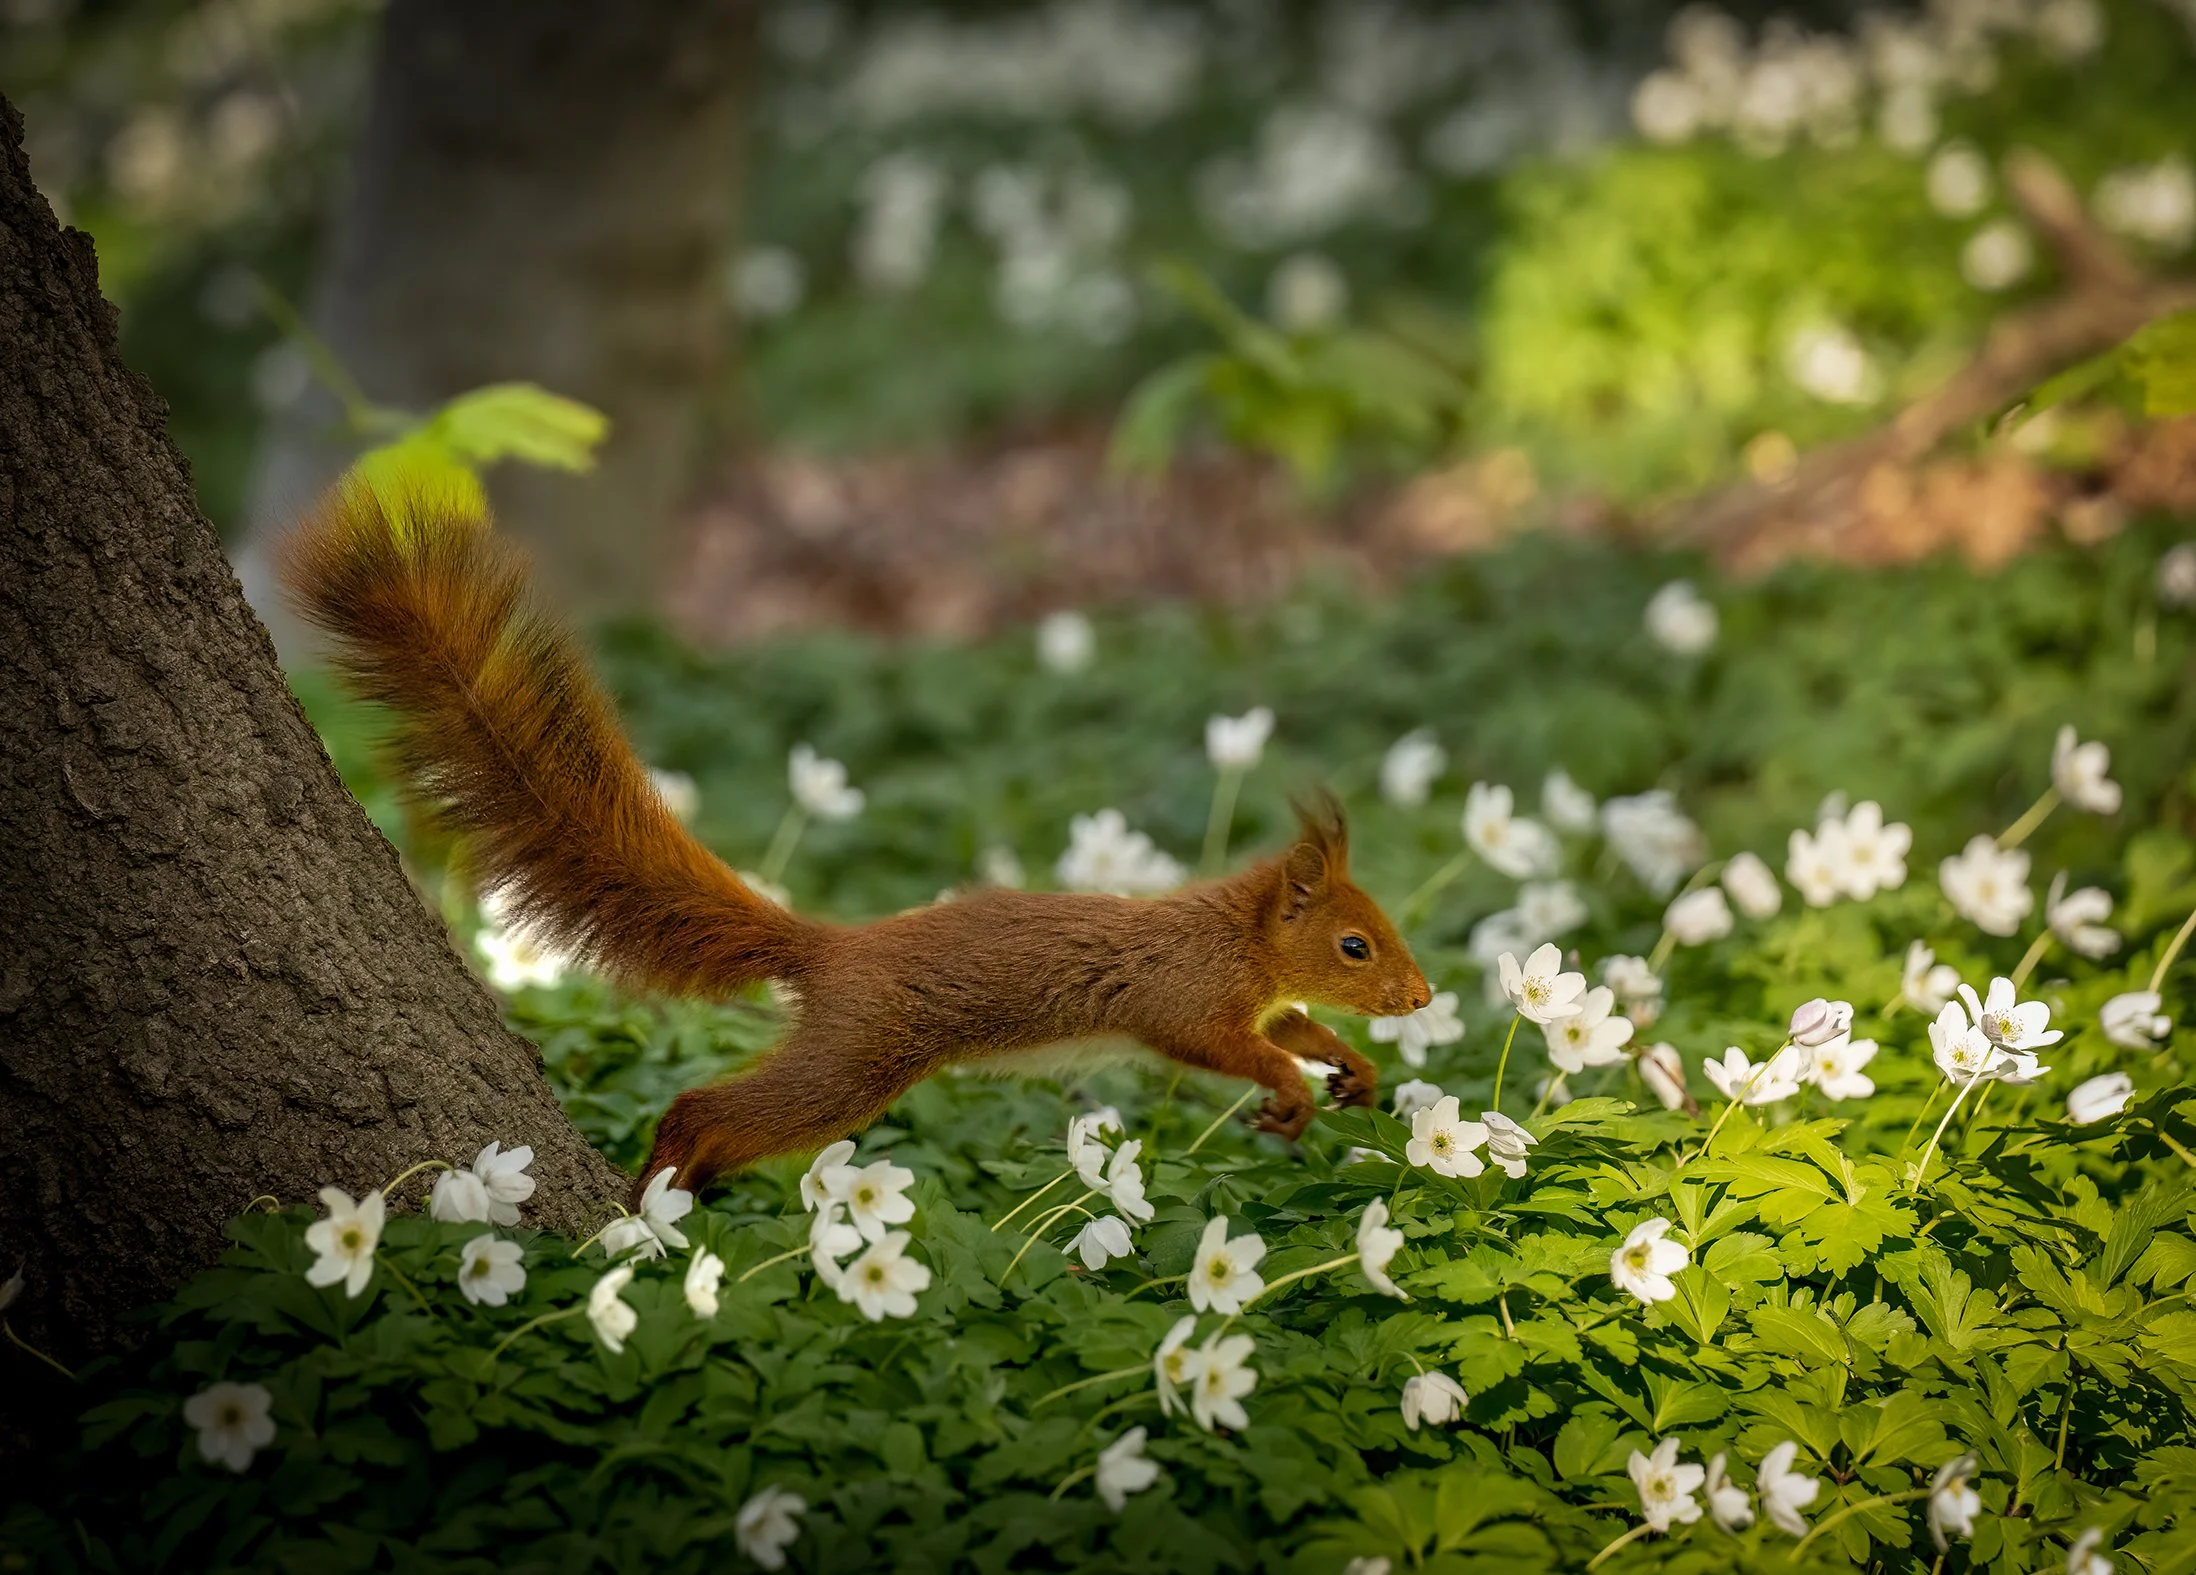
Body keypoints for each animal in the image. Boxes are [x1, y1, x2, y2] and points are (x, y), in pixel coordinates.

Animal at [280, 481, 1432, 1204]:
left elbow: (1294, 1030)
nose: (1422, 999)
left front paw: (1352, 1070)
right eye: (1355, 944)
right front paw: (1292, 1095)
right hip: (855, 1057)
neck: (1239, 937)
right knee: (707, 1107)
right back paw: (659, 1193)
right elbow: (1229, 1048)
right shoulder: (1187, 998)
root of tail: (833, 947)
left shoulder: (1257, 998)